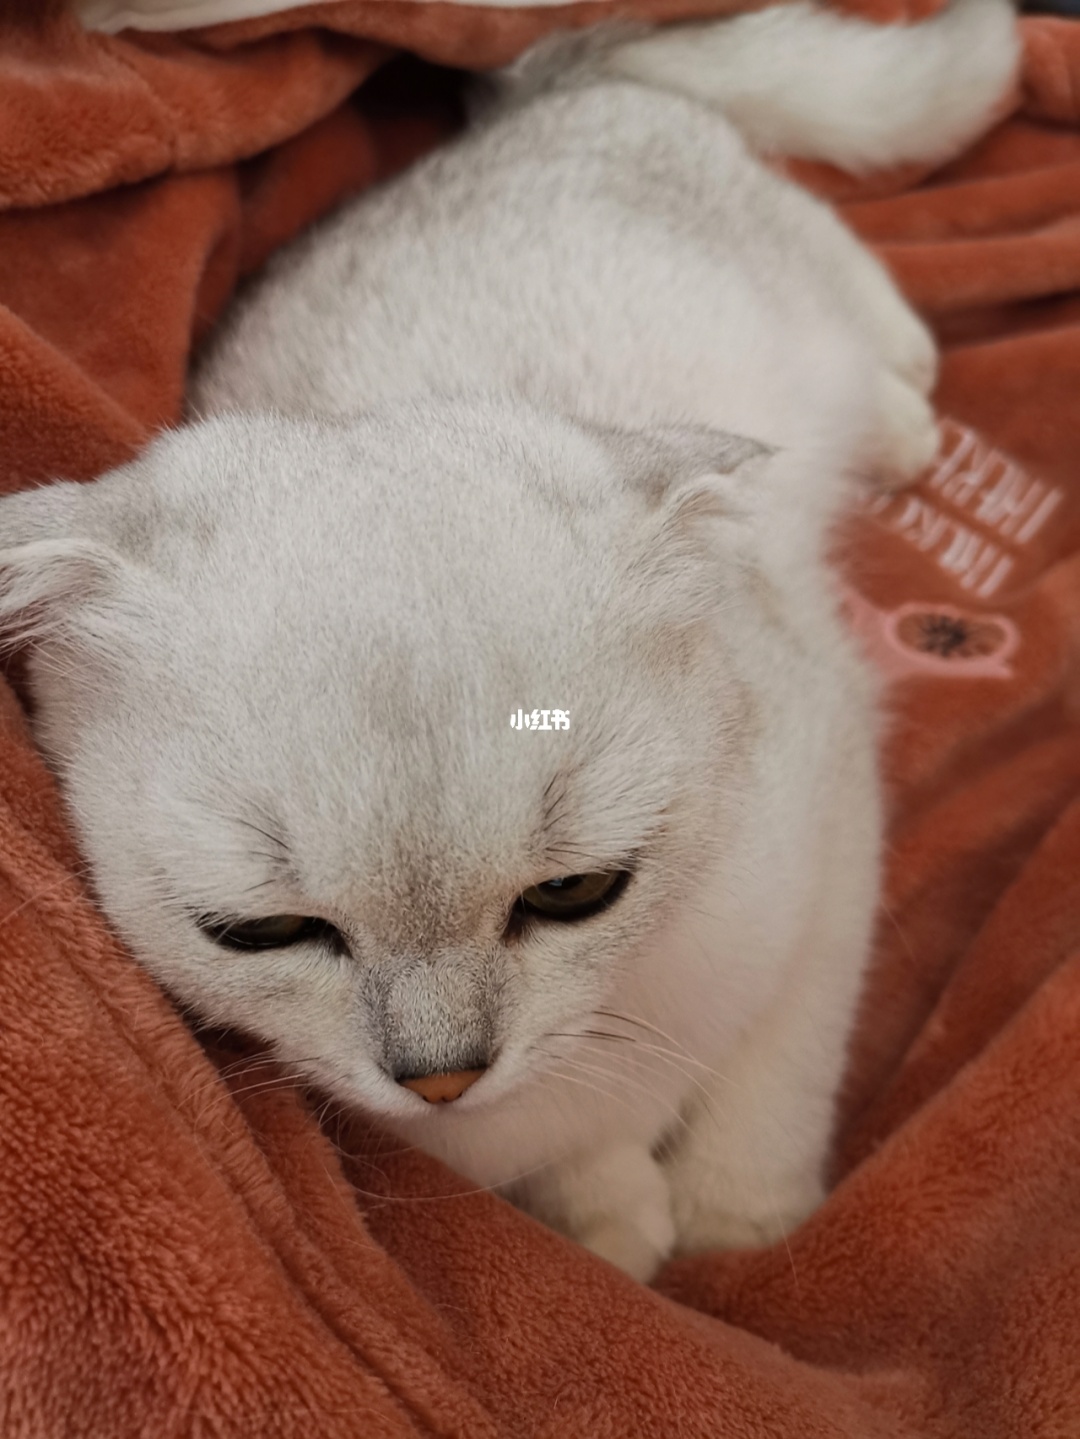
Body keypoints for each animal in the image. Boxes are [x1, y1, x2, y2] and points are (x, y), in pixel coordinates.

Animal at [0, 0, 1018, 1281]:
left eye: (578, 891)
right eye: (263, 931)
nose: (440, 1075)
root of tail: (532, 100)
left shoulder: (828, 815)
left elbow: (775, 1064)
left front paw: (738, 1220)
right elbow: (578, 1164)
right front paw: (611, 1218)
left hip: (780, 265)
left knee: (848, 276)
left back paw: (901, 417)